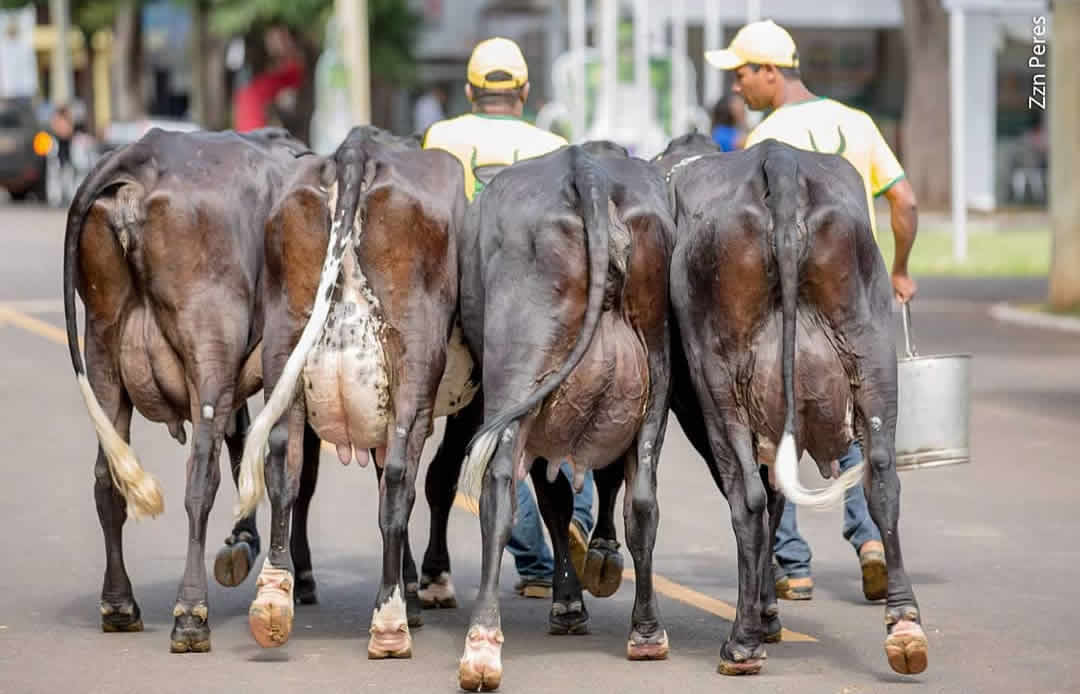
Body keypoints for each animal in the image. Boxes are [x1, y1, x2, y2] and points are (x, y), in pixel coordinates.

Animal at [62, 127, 315, 656]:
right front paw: (281, 573)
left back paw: (119, 604)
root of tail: (142, 157)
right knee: (201, 479)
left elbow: (250, 448)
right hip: (209, 349)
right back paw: (191, 614)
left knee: (107, 478)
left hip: (103, 349)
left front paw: (246, 545)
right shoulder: (284, 360)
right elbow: (285, 466)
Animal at [234, 126, 475, 660]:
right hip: (414, 366)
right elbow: (438, 479)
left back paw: (274, 600)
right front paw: (428, 584)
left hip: (284, 342)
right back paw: (390, 623)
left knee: (285, 465)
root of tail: (355, 150)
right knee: (402, 480)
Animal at [449, 143, 673, 690]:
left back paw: (482, 644)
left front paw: (568, 604)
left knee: (499, 488)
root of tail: (586, 168)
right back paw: (647, 632)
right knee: (643, 500)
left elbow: (553, 505)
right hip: (655, 377)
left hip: (517, 376)